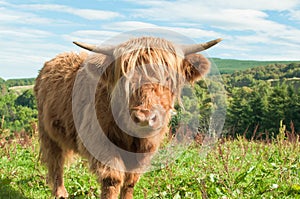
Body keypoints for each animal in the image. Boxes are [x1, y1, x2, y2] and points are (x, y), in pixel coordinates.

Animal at [34, 36, 220, 198]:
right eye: (125, 78)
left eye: (168, 78)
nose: (144, 118)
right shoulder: (98, 141)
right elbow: (112, 179)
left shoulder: (146, 149)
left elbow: (130, 181)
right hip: (47, 130)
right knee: (55, 161)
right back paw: (60, 193)